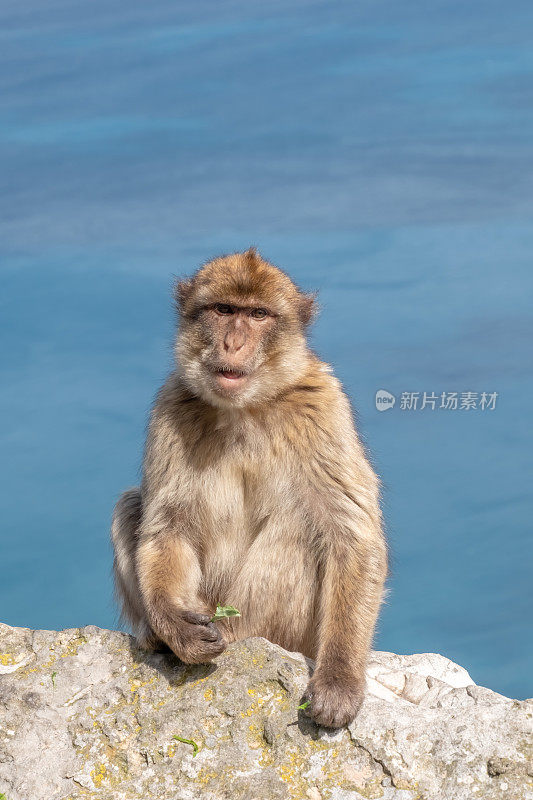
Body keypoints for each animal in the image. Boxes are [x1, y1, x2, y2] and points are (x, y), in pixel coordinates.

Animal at [112, 247, 386, 728]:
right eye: (224, 310)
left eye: (258, 315)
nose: (233, 343)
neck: (244, 408)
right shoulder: (173, 404)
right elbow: (168, 529)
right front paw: (178, 629)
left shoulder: (322, 405)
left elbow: (352, 536)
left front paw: (339, 679)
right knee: (132, 505)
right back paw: (161, 638)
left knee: (300, 533)